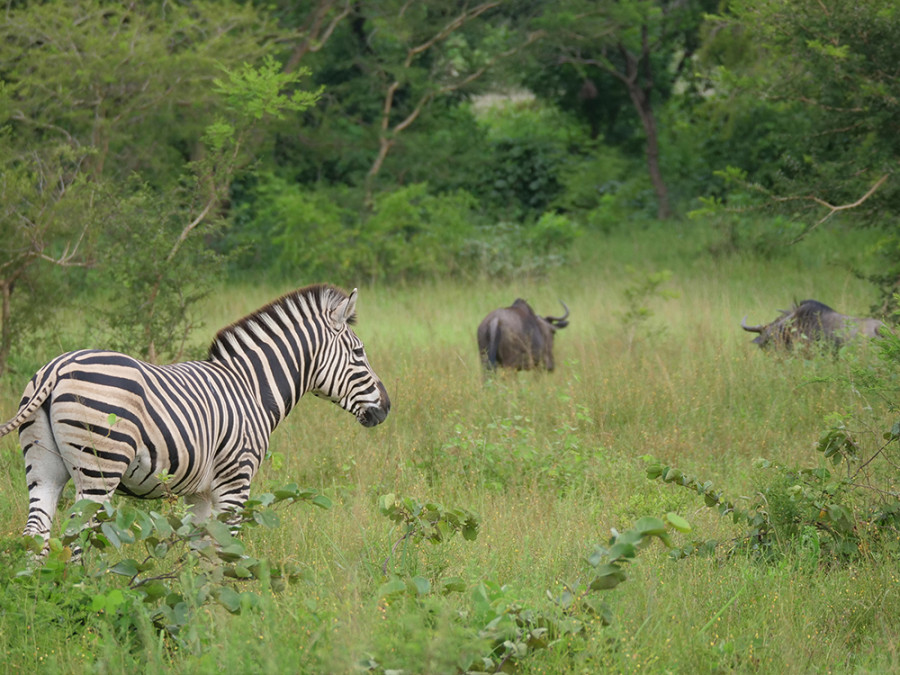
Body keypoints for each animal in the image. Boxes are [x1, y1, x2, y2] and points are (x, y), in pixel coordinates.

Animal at [0, 284, 390, 560]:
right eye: (359, 353)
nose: (386, 408)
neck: (251, 388)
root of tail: (57, 367)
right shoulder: (236, 480)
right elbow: (226, 552)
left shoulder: (198, 493)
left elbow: (199, 553)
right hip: (99, 469)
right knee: (77, 536)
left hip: (43, 468)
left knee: (36, 534)